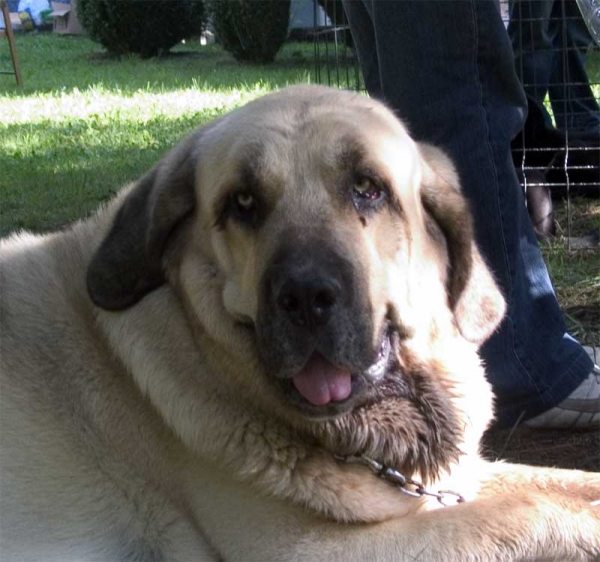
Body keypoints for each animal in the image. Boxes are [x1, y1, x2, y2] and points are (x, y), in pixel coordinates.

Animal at [1, 84, 600, 560]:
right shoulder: (311, 549)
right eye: (243, 202)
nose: (307, 297)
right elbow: (529, 510)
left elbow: (564, 487)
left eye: (368, 188)